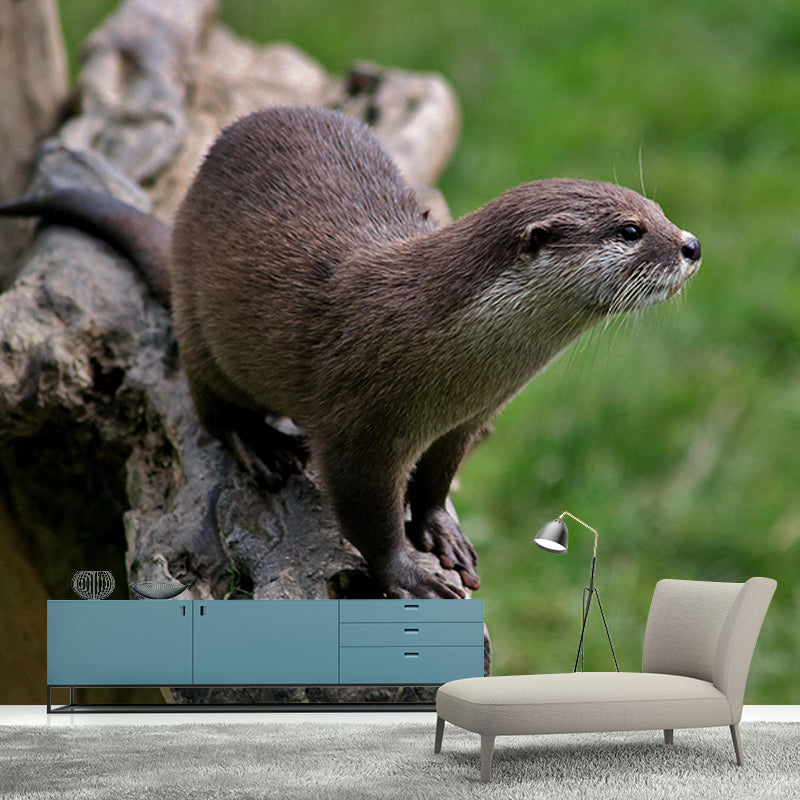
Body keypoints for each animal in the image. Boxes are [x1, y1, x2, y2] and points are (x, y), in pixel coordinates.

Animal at [0, 106, 701, 599]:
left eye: (659, 209)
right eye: (631, 230)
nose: (691, 244)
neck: (450, 354)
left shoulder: (466, 421)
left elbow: (436, 482)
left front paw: (441, 532)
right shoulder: (360, 424)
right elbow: (368, 512)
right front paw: (410, 574)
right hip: (201, 327)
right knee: (211, 407)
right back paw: (261, 447)